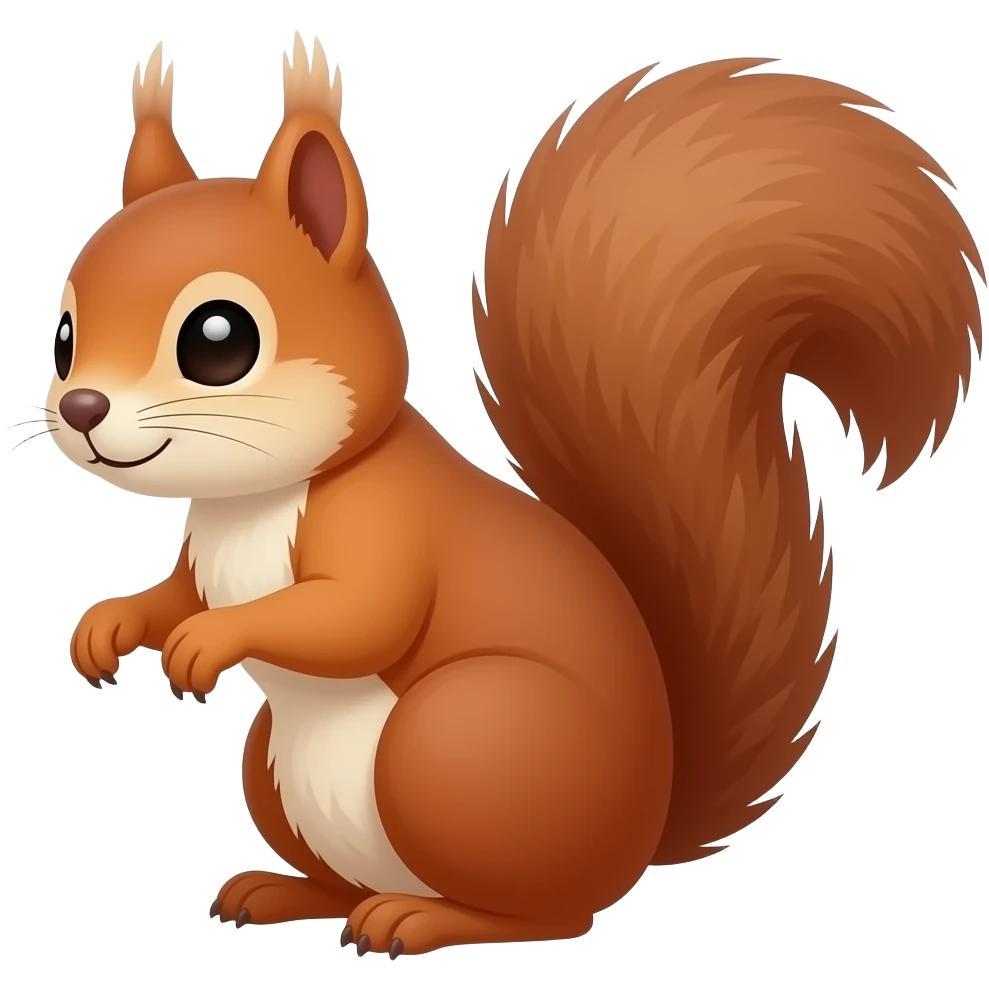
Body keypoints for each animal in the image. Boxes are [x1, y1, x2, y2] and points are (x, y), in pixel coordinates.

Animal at [54, 38, 983, 957]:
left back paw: (417, 917)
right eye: (64, 338)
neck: (251, 500)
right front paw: (111, 624)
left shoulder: (384, 525)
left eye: (220, 339)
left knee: (545, 913)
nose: (80, 408)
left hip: (459, 743)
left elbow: (356, 615)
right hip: (278, 765)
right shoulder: (203, 554)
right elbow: (178, 591)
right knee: (356, 879)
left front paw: (210, 638)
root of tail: (636, 838)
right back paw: (287, 891)